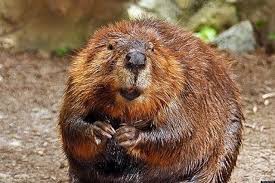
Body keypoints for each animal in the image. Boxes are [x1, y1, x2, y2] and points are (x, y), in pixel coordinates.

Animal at [59, 19, 245, 183]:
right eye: (110, 46)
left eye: (152, 48)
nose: (136, 59)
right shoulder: (77, 82)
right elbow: (70, 122)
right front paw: (100, 129)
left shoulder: (184, 86)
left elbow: (179, 131)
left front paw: (128, 134)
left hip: (229, 135)